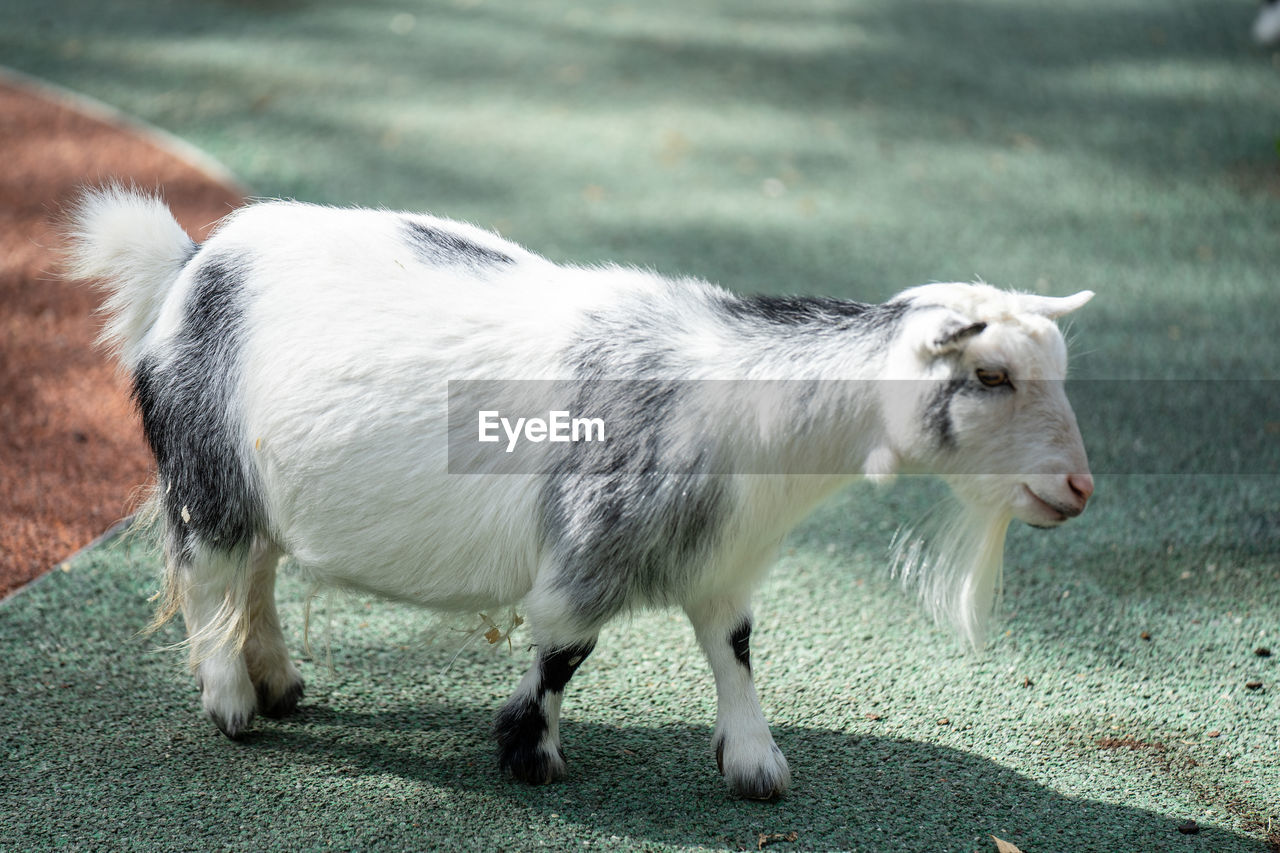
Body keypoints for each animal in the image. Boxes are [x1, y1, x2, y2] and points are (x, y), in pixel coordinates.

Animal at [70, 185, 1090, 799]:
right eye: (991, 374)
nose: (1078, 485)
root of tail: (185, 265)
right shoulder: (589, 552)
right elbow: (566, 649)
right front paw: (529, 751)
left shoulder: (723, 558)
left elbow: (734, 648)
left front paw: (755, 763)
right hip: (205, 471)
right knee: (211, 575)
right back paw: (231, 701)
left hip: (261, 486)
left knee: (260, 573)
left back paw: (278, 680)